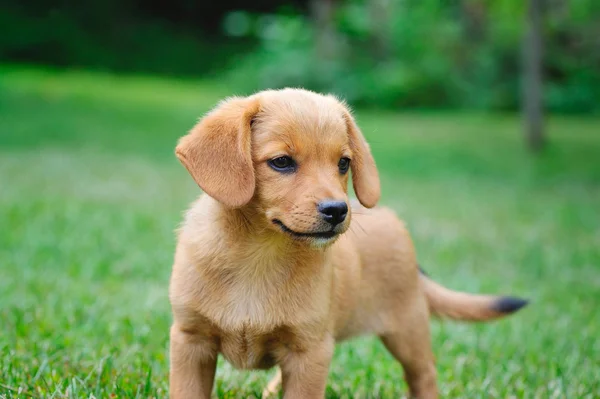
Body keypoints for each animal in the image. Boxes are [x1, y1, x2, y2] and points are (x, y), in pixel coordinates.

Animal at [168, 88, 524, 399]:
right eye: (281, 162)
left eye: (343, 163)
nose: (338, 210)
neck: (260, 255)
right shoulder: (190, 341)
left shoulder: (309, 352)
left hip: (408, 331)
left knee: (424, 375)